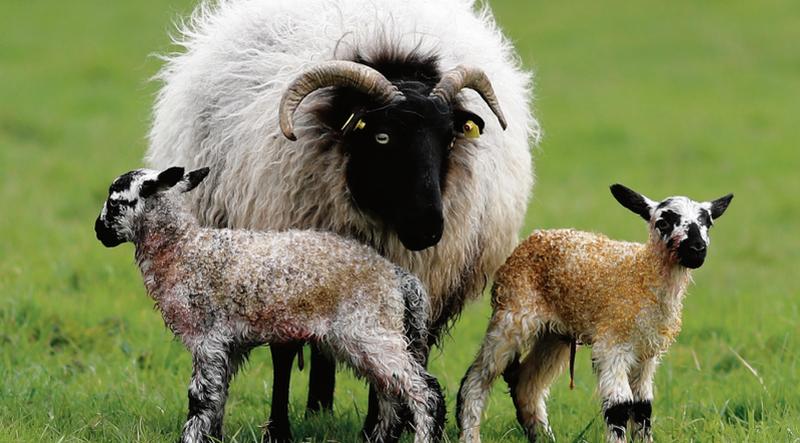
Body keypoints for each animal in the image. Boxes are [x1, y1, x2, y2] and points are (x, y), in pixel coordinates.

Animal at [95, 166, 444, 443]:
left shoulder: (208, 338)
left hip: (370, 330)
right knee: (390, 396)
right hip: (366, 337)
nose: (98, 232)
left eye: (114, 203)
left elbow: (200, 398)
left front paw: (191, 438)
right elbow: (218, 399)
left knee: (424, 391)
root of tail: (397, 277)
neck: (185, 250)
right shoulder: (229, 346)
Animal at [150, 0, 536, 438]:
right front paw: (278, 430)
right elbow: (284, 354)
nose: (428, 228)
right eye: (382, 137)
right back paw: (317, 407)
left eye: (450, 138)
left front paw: (382, 428)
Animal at [460, 184, 736, 443]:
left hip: (554, 333)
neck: (642, 275)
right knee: (477, 378)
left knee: (527, 384)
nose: (697, 249)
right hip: (513, 315)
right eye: (664, 222)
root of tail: (534, 238)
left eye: (707, 223)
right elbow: (619, 407)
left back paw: (544, 436)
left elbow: (643, 407)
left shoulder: (647, 353)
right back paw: (470, 434)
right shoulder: (612, 345)